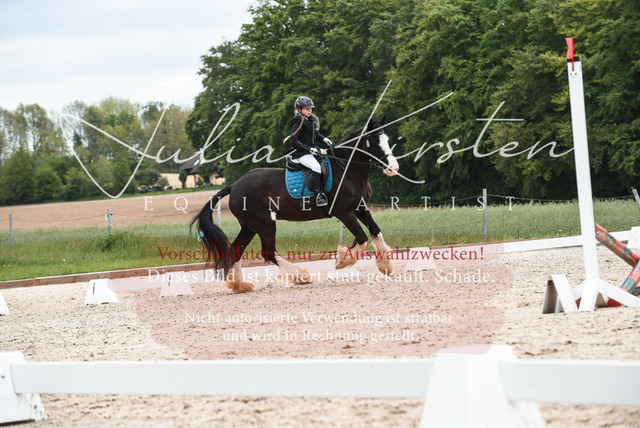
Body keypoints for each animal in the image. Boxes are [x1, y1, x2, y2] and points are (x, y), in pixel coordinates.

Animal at [191, 118, 400, 293]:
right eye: (374, 141)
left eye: (387, 139)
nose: (393, 168)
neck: (346, 169)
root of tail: (234, 186)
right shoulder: (345, 212)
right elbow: (362, 237)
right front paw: (342, 261)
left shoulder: (360, 208)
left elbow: (375, 232)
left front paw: (386, 266)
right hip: (265, 224)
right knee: (268, 252)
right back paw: (301, 276)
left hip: (249, 226)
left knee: (236, 251)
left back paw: (240, 285)